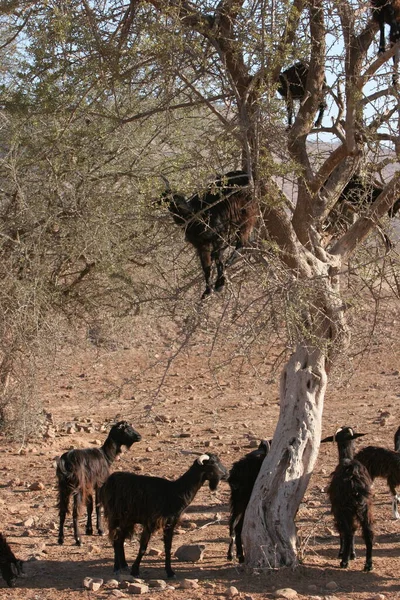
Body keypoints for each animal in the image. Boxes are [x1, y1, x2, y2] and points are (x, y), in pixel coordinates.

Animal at [57, 420, 141, 548]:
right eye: (126, 429)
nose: (139, 436)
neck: (106, 456)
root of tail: (65, 461)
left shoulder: (89, 485)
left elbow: (90, 506)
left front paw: (89, 530)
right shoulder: (99, 484)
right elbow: (98, 505)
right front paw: (100, 530)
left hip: (63, 488)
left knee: (62, 511)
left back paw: (61, 539)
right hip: (77, 487)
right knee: (75, 512)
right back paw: (78, 540)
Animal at [101, 452, 227, 580]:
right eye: (212, 463)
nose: (226, 474)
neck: (175, 492)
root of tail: (109, 481)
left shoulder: (170, 524)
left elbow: (168, 548)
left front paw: (170, 572)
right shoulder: (150, 523)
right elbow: (143, 548)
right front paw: (135, 571)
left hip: (127, 520)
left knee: (120, 539)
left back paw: (124, 565)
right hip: (115, 516)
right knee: (116, 539)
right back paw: (117, 568)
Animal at [159, 169, 256, 300]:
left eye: (174, 197)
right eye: (165, 198)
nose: (182, 207)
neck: (195, 218)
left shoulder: (218, 235)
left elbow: (218, 258)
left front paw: (220, 284)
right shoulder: (201, 245)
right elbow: (206, 267)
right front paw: (207, 291)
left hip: (246, 217)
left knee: (241, 243)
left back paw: (227, 264)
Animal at [320, 426, 374, 572]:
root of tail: (353, 473)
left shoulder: (337, 509)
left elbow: (343, 531)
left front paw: (344, 553)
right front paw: (352, 554)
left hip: (345, 508)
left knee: (348, 532)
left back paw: (344, 561)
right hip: (365, 507)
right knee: (368, 532)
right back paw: (368, 564)